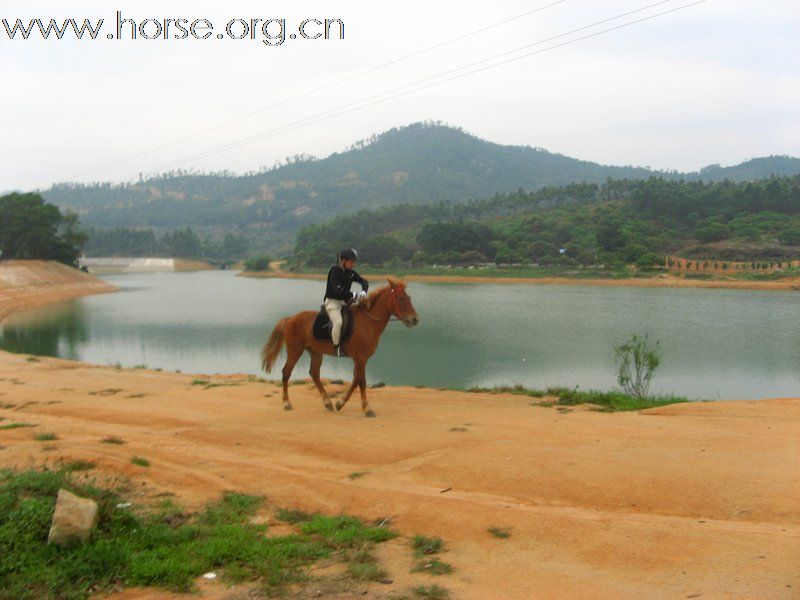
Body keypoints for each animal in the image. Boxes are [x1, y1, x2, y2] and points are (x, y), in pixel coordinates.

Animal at [264, 278, 424, 414]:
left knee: (314, 374)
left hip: (315, 352)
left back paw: (328, 403)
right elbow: (362, 382)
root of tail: (290, 318)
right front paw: (367, 408)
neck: (368, 322)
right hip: (295, 351)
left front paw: (340, 403)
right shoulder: (361, 358)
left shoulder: (360, 359)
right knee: (286, 372)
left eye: (409, 298)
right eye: (401, 298)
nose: (414, 319)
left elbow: (355, 381)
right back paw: (286, 403)